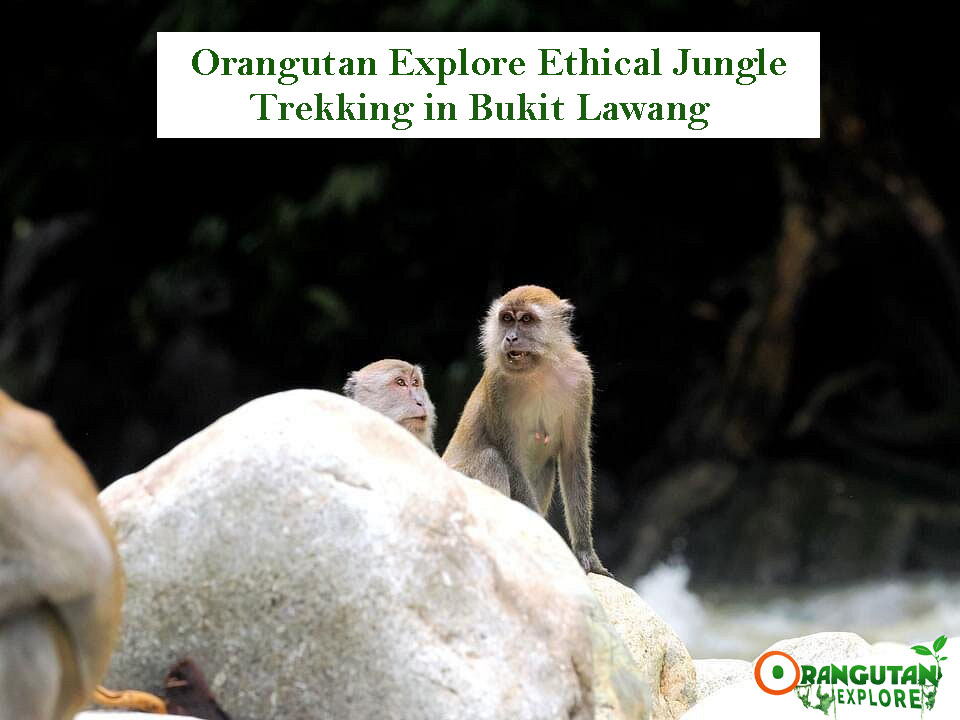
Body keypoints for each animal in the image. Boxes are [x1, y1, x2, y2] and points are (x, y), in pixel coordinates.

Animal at [442, 285, 610, 576]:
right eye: (507, 319)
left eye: (527, 320)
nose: (510, 338)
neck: (539, 370)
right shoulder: (497, 385)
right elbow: (511, 462)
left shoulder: (581, 378)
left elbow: (573, 456)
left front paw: (586, 553)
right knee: (491, 460)